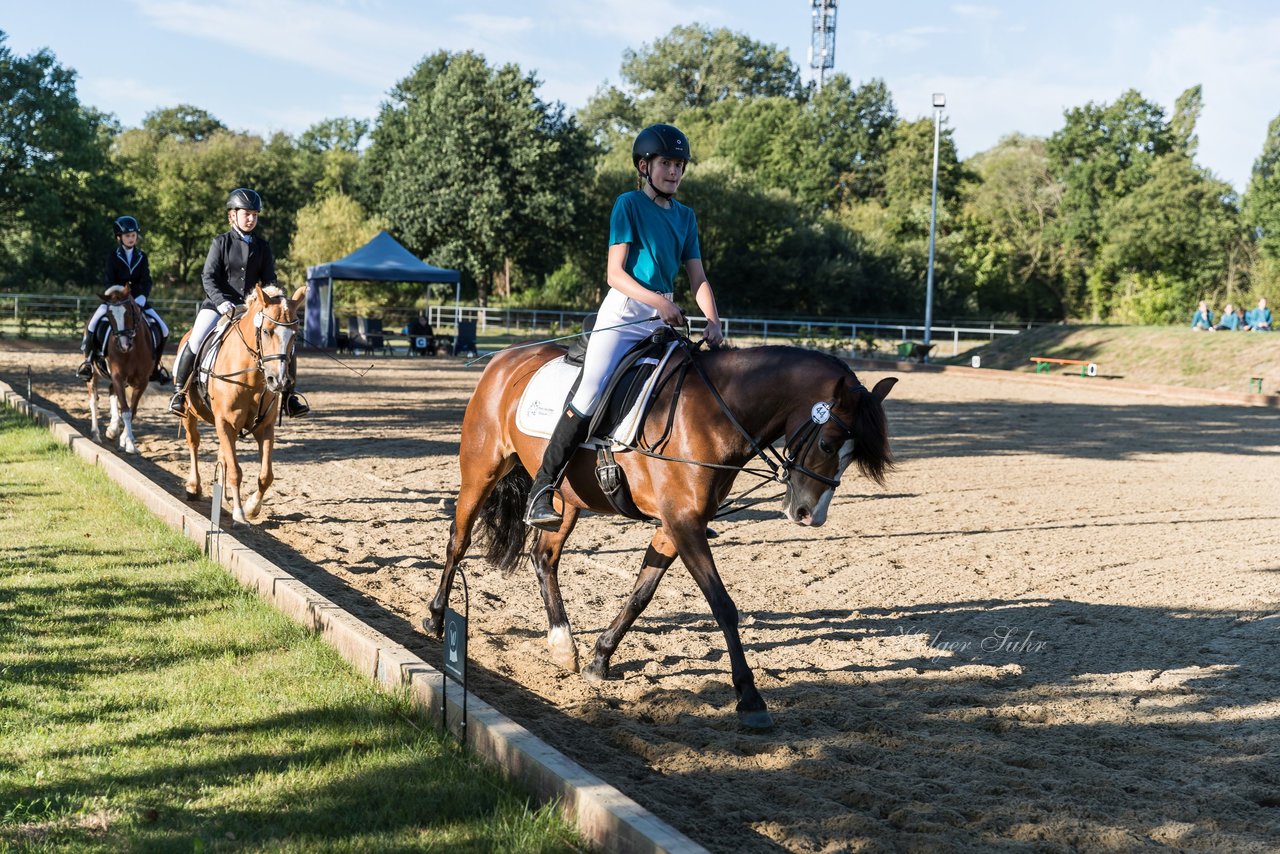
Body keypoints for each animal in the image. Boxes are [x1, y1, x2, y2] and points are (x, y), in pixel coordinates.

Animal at [87, 284, 153, 453]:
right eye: (109, 316)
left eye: (129, 312)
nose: (123, 345)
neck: (132, 352)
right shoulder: (118, 376)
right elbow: (125, 410)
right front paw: (129, 442)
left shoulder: (142, 382)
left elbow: (132, 411)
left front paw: (126, 441)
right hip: (93, 374)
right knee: (93, 401)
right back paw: (96, 434)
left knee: (112, 392)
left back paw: (112, 430)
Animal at [176, 284, 305, 524]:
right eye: (266, 331)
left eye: (295, 334)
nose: (279, 381)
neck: (251, 377)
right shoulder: (226, 423)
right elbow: (236, 471)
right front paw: (238, 513)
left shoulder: (264, 427)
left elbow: (266, 475)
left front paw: (252, 507)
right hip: (190, 413)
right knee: (194, 443)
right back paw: (194, 487)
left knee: (223, 457)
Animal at [424, 338, 896, 727]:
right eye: (829, 443)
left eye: (852, 455)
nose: (808, 515)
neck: (713, 414)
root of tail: (505, 358)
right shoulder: (684, 523)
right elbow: (723, 606)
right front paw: (749, 698)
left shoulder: (676, 526)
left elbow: (641, 594)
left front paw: (599, 659)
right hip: (481, 467)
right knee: (458, 540)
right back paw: (437, 616)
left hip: (566, 500)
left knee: (545, 557)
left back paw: (563, 645)